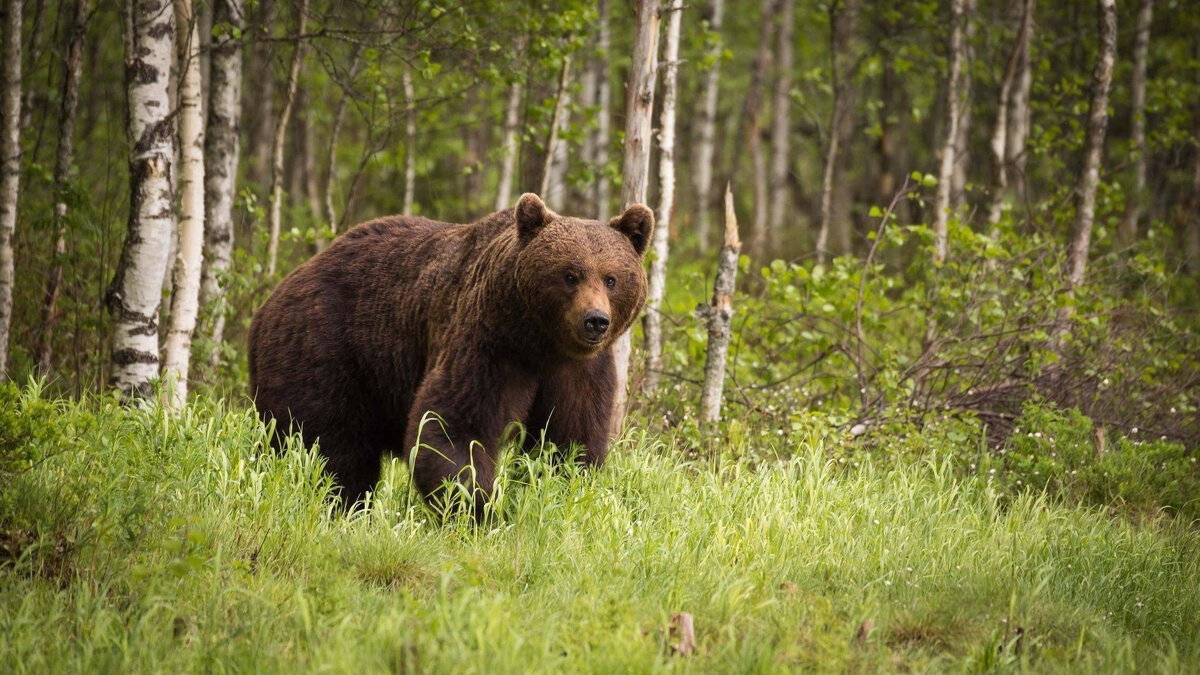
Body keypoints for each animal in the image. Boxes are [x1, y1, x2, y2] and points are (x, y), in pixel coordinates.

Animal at [247, 192, 652, 511]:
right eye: (570, 275)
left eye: (612, 278)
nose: (595, 321)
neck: (539, 340)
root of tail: (266, 306)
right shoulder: (488, 343)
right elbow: (453, 425)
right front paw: (481, 508)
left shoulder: (578, 369)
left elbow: (570, 440)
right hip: (325, 350)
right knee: (328, 448)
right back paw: (340, 504)